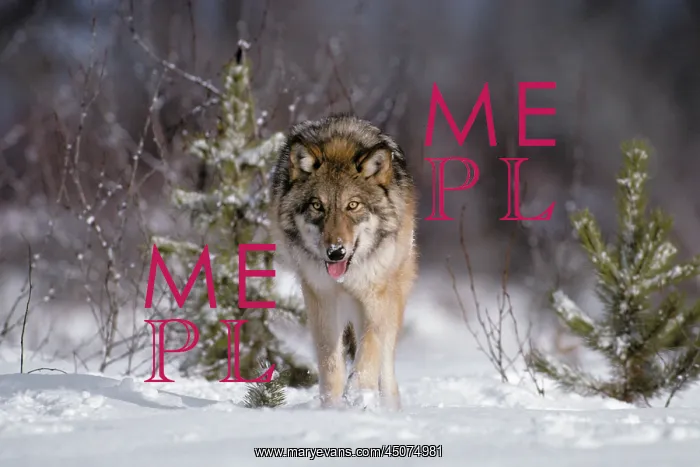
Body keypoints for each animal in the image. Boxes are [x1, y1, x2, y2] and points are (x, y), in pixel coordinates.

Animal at [269, 114, 417, 410]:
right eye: (317, 206)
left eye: (353, 205)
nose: (335, 252)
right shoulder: (321, 297)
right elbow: (330, 361)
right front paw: (332, 408)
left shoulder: (375, 295)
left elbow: (369, 349)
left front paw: (358, 392)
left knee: (386, 364)